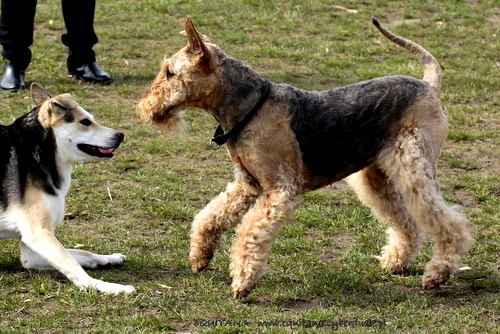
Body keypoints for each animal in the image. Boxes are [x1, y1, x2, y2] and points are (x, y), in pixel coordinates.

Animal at [0, 84, 135, 294]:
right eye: (85, 121)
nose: (120, 135)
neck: (38, 152)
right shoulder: (39, 235)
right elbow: (76, 268)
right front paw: (108, 286)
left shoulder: (31, 252)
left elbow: (82, 253)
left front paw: (108, 258)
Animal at [138, 17, 472, 298]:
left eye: (170, 72)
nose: (143, 107)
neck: (248, 107)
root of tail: (428, 86)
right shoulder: (248, 183)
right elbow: (211, 215)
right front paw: (200, 258)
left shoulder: (280, 189)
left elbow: (249, 233)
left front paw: (242, 282)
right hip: (375, 177)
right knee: (406, 221)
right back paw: (396, 262)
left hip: (413, 166)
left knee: (450, 222)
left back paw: (437, 274)